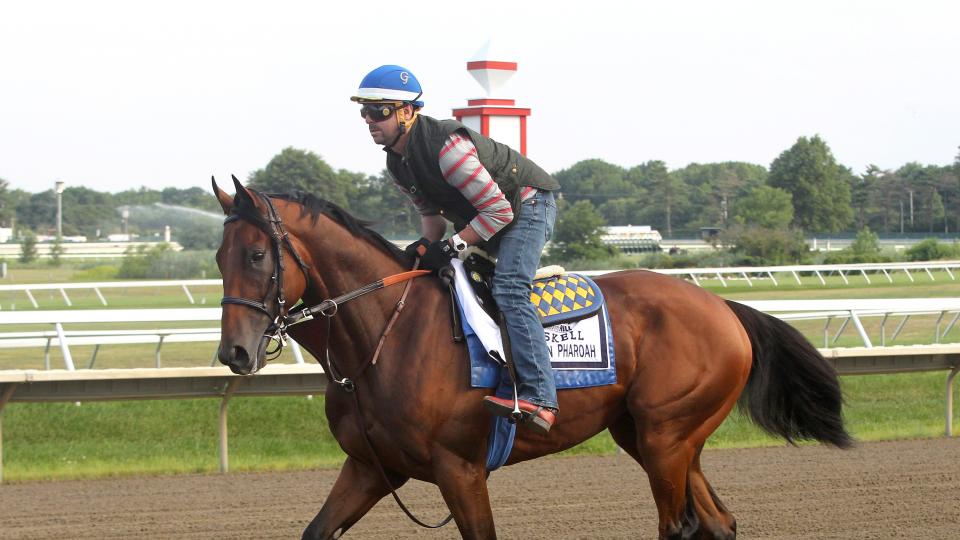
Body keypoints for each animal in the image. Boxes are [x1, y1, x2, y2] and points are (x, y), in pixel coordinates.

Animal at [214, 178, 852, 540]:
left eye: (256, 255)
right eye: (219, 257)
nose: (234, 352)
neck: (384, 335)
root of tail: (721, 305)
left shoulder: (460, 469)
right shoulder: (372, 466)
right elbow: (315, 531)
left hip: (667, 436)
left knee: (679, 527)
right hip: (657, 437)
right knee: (717, 524)